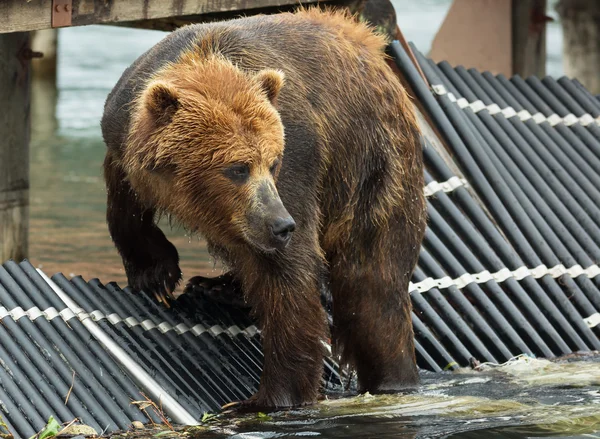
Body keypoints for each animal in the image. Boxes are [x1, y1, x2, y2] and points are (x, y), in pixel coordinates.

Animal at [101, 8, 426, 410]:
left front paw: (272, 395)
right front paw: (156, 274)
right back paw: (217, 286)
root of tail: (370, 46)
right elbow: (125, 205)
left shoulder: (299, 155)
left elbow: (288, 277)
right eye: (237, 168)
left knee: (373, 284)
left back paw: (394, 376)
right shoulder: (123, 135)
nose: (281, 225)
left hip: (373, 165)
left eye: (272, 163)